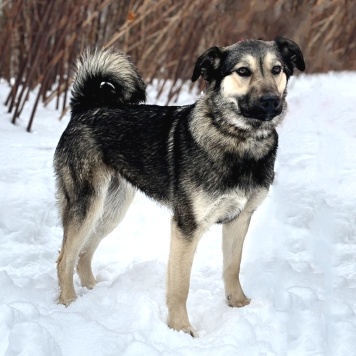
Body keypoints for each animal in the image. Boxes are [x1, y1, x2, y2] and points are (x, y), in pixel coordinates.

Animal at [54, 38, 304, 336]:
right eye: (243, 71)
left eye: (277, 69)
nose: (271, 102)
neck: (239, 140)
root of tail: (85, 107)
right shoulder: (187, 227)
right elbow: (180, 286)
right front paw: (181, 329)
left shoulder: (240, 218)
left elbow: (232, 267)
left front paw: (239, 305)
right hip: (87, 203)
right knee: (65, 258)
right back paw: (69, 303)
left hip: (112, 209)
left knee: (83, 252)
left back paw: (93, 291)